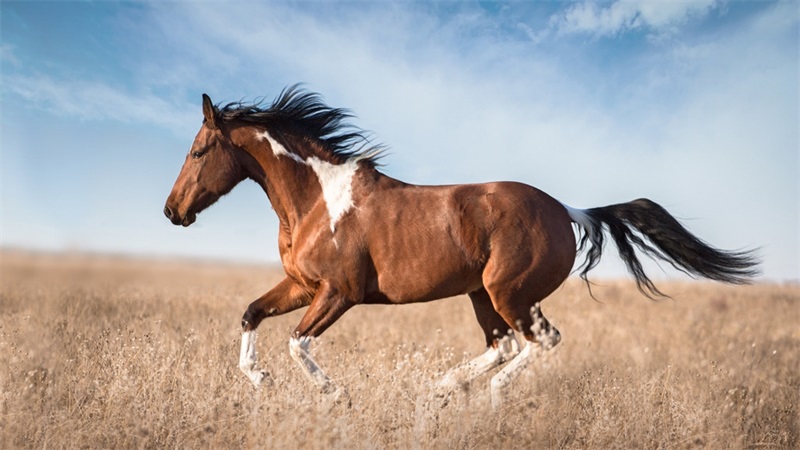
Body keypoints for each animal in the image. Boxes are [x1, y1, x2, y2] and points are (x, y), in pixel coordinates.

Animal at [164, 84, 764, 408]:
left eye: (198, 152)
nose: (172, 211)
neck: (317, 199)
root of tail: (568, 211)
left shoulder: (339, 292)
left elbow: (297, 343)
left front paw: (335, 396)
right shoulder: (301, 285)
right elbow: (250, 314)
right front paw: (259, 379)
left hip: (508, 293)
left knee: (539, 342)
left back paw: (490, 397)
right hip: (482, 295)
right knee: (504, 345)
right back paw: (441, 389)